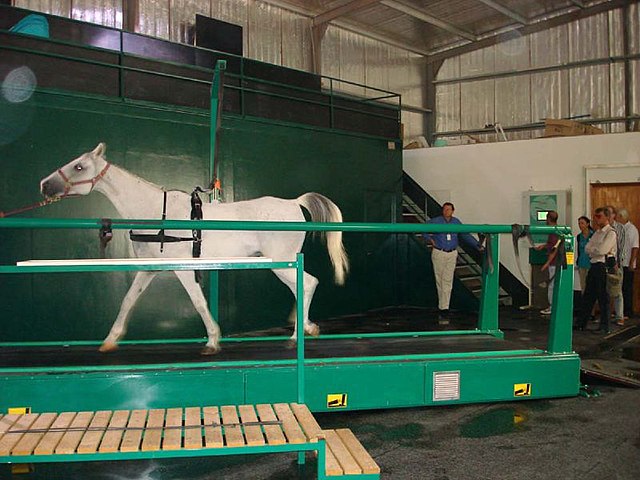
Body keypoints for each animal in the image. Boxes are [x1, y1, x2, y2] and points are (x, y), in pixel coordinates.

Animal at [40, 142, 350, 352]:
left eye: (79, 166)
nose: (45, 185)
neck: (157, 213)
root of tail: (293, 203)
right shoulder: (148, 268)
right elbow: (128, 300)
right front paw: (110, 340)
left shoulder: (184, 269)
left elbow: (198, 302)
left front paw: (212, 340)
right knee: (303, 286)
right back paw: (305, 326)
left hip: (281, 261)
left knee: (307, 284)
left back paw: (298, 334)